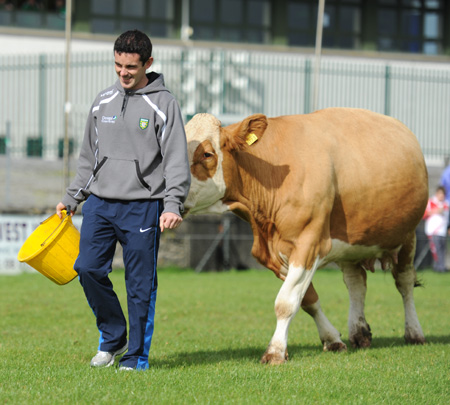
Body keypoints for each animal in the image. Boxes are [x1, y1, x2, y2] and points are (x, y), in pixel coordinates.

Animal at [184, 106, 428, 362]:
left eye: (207, 154)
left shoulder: (308, 243)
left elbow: (285, 302)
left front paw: (275, 351)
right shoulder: (276, 254)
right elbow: (308, 300)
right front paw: (332, 339)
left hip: (408, 236)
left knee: (404, 282)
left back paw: (414, 332)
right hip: (351, 244)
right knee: (356, 284)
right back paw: (359, 332)